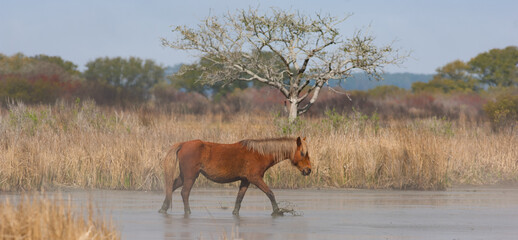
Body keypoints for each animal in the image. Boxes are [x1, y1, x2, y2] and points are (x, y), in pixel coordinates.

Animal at [158, 136, 312, 217]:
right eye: (302, 153)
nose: (308, 170)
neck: (259, 153)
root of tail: (183, 144)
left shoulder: (245, 181)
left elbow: (239, 198)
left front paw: (235, 213)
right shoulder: (255, 179)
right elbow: (270, 193)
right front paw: (277, 211)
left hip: (184, 176)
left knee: (171, 187)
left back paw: (163, 208)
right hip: (190, 177)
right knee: (184, 193)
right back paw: (187, 211)